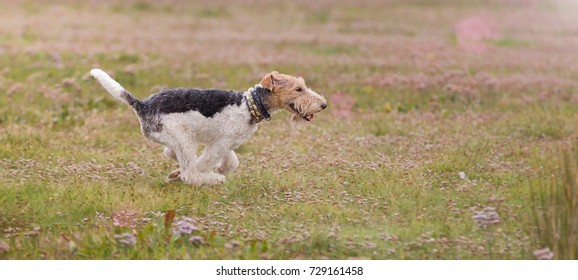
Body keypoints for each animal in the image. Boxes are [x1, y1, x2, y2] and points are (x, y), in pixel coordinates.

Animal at [89, 68, 324, 186]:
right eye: (298, 89)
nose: (323, 104)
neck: (250, 105)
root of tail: (142, 105)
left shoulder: (223, 143)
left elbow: (232, 161)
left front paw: (218, 168)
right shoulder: (219, 144)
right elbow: (203, 164)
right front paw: (214, 173)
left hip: (177, 139)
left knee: (173, 155)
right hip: (182, 138)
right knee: (190, 172)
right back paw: (213, 180)